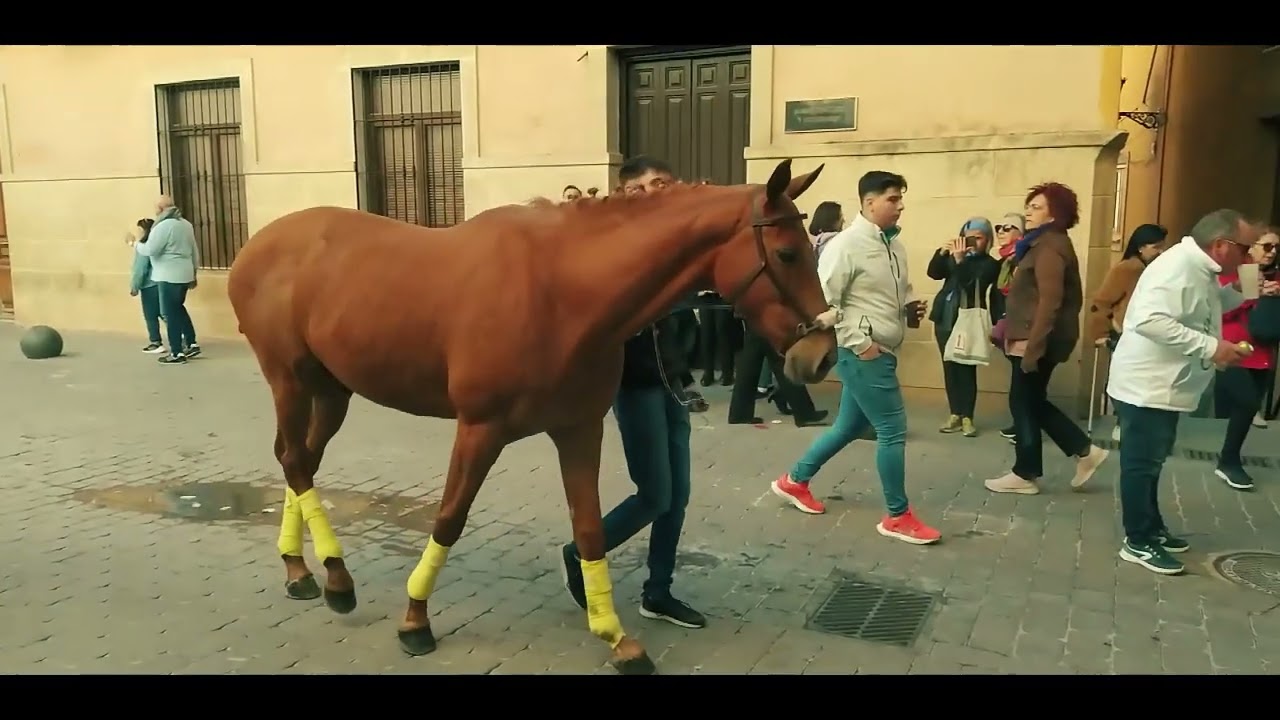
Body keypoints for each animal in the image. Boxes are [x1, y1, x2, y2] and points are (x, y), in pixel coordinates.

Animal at [226, 158, 837, 675]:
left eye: (809, 250)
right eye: (787, 254)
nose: (822, 355)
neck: (562, 291)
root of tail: (257, 245)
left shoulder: (579, 428)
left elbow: (589, 529)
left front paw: (616, 636)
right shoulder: (480, 429)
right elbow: (449, 517)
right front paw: (416, 618)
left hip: (333, 391)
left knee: (300, 462)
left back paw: (303, 570)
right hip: (289, 380)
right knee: (294, 460)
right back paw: (335, 578)